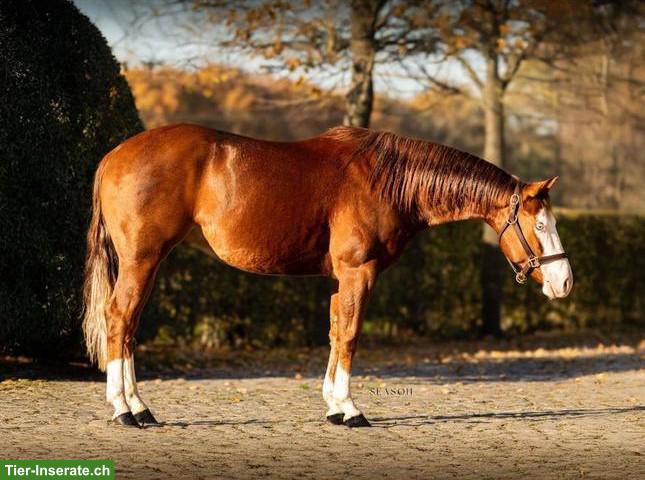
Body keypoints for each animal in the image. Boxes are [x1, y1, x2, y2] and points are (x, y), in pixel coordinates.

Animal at [82, 124, 573, 428]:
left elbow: (336, 332)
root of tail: (113, 155)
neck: (388, 180)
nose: (565, 282)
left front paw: (334, 406)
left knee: (128, 325)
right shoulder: (360, 272)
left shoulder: (342, 279)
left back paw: (137, 407)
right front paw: (351, 409)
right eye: (540, 225)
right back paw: (127, 409)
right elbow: (351, 334)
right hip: (142, 260)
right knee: (120, 319)